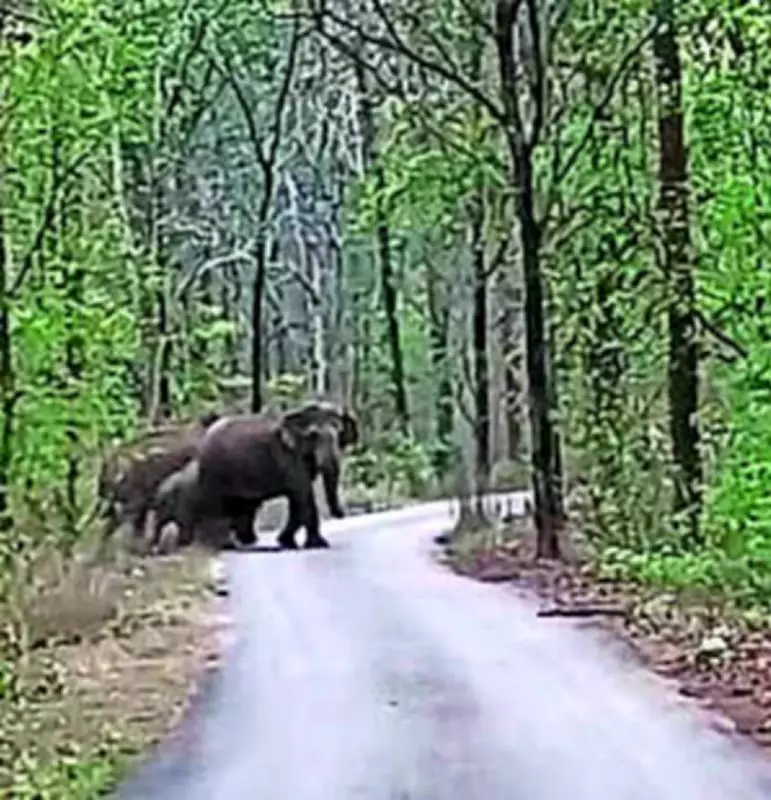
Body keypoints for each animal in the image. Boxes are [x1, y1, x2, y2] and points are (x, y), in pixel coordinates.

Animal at [159, 401, 359, 552]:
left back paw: (244, 541)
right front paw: (318, 545)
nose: (342, 513)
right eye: (313, 435)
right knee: (221, 505)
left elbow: (297, 500)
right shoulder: (287, 456)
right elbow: (303, 494)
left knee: (241, 506)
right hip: (215, 473)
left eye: (339, 432)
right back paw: (222, 544)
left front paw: (287, 542)